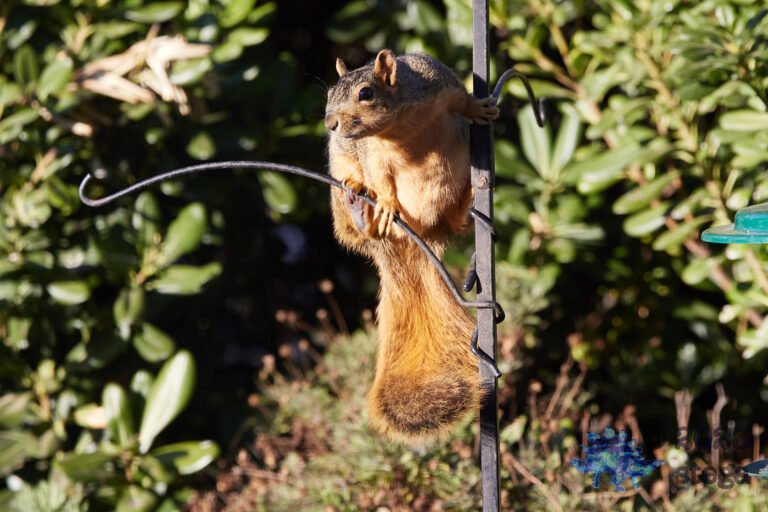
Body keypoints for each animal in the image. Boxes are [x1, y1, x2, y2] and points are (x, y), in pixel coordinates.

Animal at [325, 49, 499, 444]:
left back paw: (468, 206)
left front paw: (479, 109)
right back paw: (362, 209)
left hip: (452, 199)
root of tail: (411, 237)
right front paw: (387, 202)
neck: (400, 129)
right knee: (355, 221)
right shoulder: (372, 154)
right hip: (338, 183)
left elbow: (461, 99)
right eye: (328, 94)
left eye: (366, 93)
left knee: (455, 222)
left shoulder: (436, 82)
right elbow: (380, 177)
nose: (330, 124)